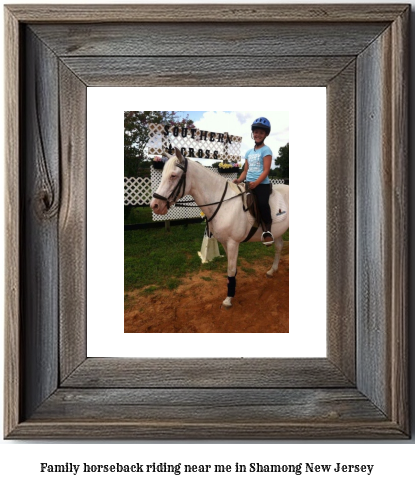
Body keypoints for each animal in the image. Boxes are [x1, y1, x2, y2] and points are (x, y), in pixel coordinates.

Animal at [150, 148, 290, 308]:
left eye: (173, 175)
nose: (155, 205)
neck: (224, 203)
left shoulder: (233, 243)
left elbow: (231, 268)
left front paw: (228, 299)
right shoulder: (224, 242)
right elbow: (231, 269)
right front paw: (231, 290)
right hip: (277, 231)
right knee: (279, 246)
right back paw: (272, 271)